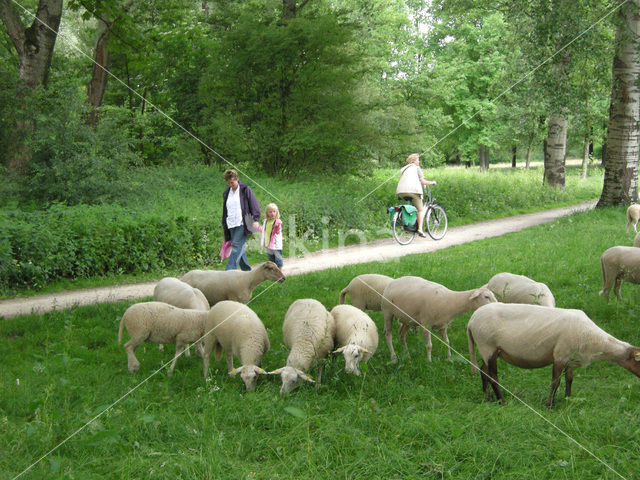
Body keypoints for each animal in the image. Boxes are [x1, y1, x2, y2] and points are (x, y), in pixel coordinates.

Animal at [464, 304, 640, 404]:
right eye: (638, 361)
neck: (593, 339)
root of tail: (471, 321)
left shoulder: (570, 358)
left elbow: (569, 379)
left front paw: (568, 399)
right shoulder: (560, 355)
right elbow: (555, 382)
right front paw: (549, 405)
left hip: (487, 349)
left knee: (483, 371)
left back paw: (488, 398)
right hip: (488, 346)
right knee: (493, 375)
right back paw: (502, 400)